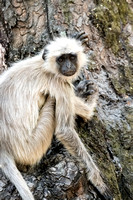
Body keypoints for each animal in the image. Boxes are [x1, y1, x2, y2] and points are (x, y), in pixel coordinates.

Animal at [0, 32, 112, 199]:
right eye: (61, 59)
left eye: (71, 57)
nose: (68, 66)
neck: (44, 67)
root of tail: (3, 145)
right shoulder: (59, 83)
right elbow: (65, 130)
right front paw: (96, 178)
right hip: (32, 147)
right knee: (52, 100)